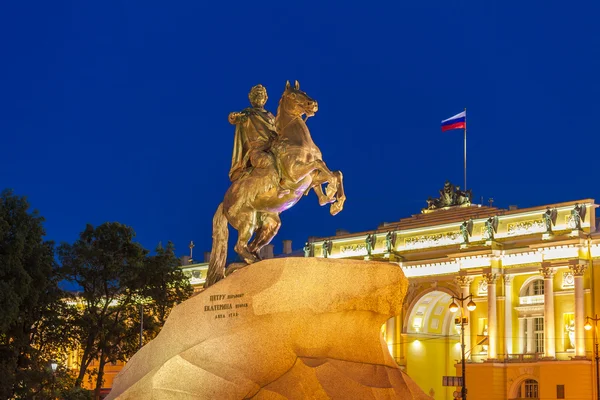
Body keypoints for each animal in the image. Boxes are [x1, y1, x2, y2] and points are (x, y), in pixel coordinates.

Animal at [206, 81, 344, 288]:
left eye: (304, 92)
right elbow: (321, 165)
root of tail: (224, 203)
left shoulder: (310, 179)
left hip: (270, 224)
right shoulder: (295, 176)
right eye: (294, 96)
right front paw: (331, 194)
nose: (313, 104)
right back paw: (249, 263)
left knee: (251, 248)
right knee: (240, 246)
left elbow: (335, 172)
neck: (295, 141)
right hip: (247, 221)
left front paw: (333, 201)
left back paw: (244, 265)